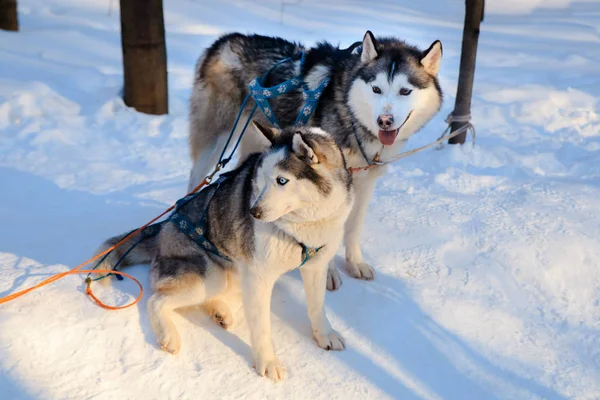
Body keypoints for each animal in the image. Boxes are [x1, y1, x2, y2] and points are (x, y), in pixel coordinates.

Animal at [95, 125, 352, 382]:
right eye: (262, 178)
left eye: (282, 180)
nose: (253, 212)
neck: (301, 227)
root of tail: (163, 229)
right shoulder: (258, 278)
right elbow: (262, 327)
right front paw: (267, 362)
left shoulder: (316, 267)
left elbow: (317, 307)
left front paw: (325, 335)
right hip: (209, 275)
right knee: (156, 300)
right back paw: (170, 334)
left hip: (231, 275)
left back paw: (220, 312)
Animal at [189, 29, 446, 290]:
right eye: (376, 89)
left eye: (405, 91)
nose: (385, 121)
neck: (350, 114)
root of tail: (226, 38)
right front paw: (329, 272)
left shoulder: (364, 181)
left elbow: (353, 227)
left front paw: (355, 263)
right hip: (215, 139)